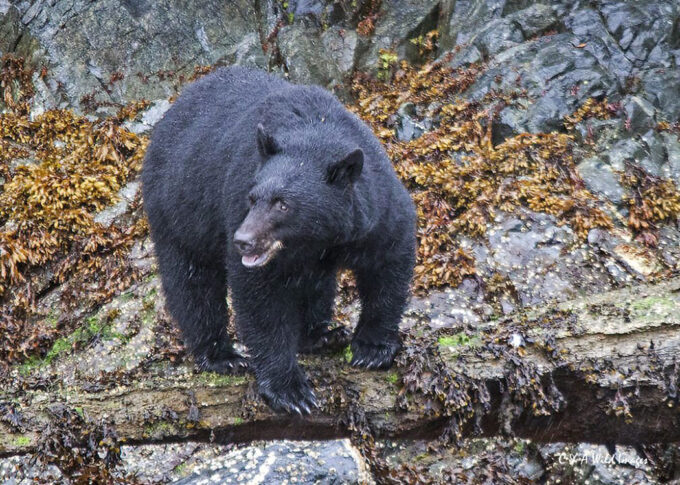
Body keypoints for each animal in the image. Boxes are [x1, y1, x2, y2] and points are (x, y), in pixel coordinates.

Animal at [142, 66, 416, 414]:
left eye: (283, 204)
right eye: (252, 198)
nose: (243, 241)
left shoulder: (374, 209)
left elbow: (388, 262)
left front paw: (372, 349)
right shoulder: (238, 197)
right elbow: (260, 300)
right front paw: (291, 391)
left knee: (315, 284)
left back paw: (322, 334)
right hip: (179, 209)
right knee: (192, 283)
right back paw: (222, 355)